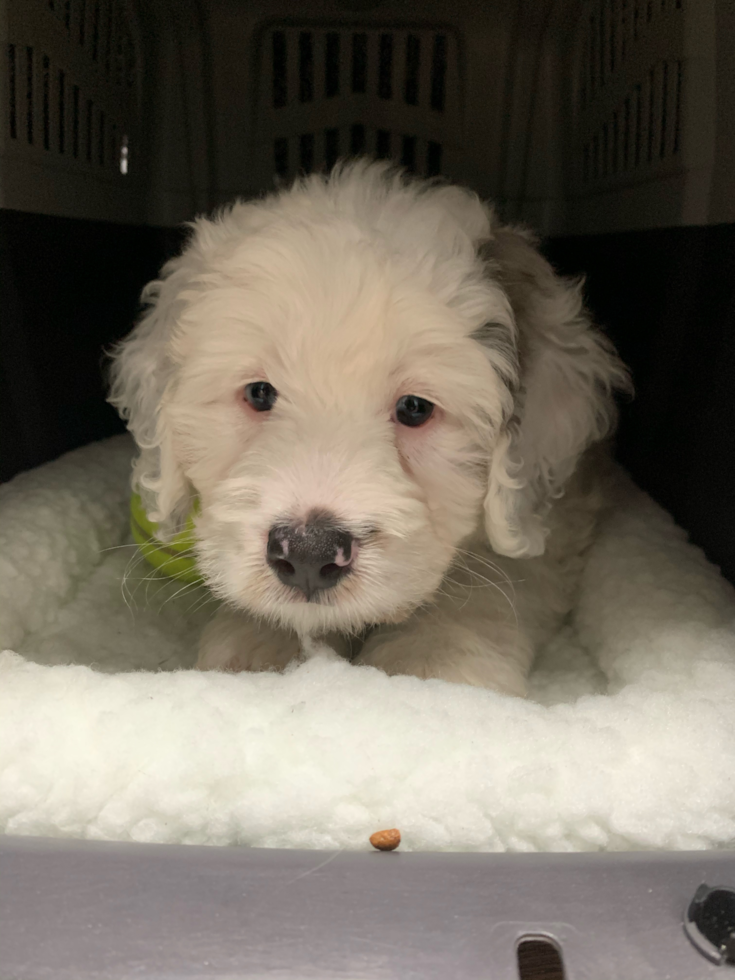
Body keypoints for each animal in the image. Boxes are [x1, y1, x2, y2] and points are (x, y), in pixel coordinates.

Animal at [109, 163, 628, 696]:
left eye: (416, 408)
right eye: (259, 393)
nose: (309, 552)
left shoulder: (552, 518)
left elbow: (490, 582)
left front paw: (432, 661)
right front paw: (260, 647)